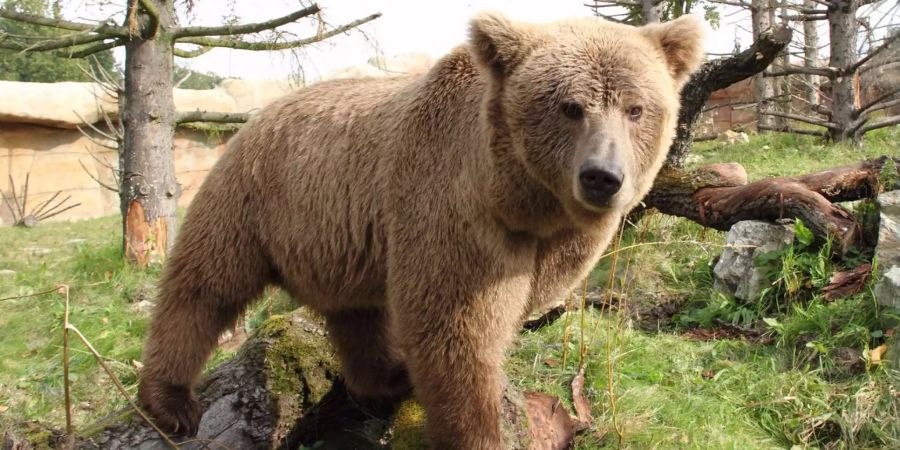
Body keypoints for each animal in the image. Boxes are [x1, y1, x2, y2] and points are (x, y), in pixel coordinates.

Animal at [139, 12, 704, 448]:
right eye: (570, 107)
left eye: (636, 108)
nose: (602, 177)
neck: (521, 200)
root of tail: (258, 114)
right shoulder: (452, 209)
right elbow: (455, 329)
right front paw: (479, 431)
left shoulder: (552, 240)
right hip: (253, 198)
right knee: (204, 285)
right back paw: (170, 400)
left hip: (335, 241)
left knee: (356, 314)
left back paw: (383, 380)